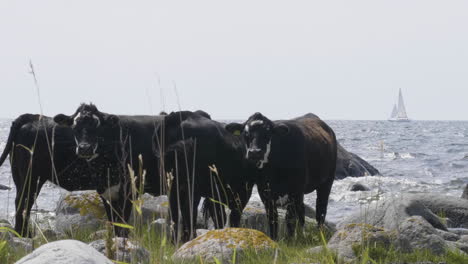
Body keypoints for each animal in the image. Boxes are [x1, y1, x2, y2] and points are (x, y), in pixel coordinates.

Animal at [54, 103, 166, 235]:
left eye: (98, 127)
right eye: (74, 127)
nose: (85, 148)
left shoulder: (128, 190)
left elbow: (122, 226)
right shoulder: (106, 194)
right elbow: (114, 224)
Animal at [227, 112, 336, 240]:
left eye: (268, 133)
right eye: (246, 133)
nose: (255, 152)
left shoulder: (295, 189)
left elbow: (290, 218)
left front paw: (290, 241)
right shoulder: (265, 191)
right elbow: (272, 218)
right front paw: (274, 239)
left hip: (326, 182)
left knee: (321, 209)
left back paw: (320, 234)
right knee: (302, 211)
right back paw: (301, 235)